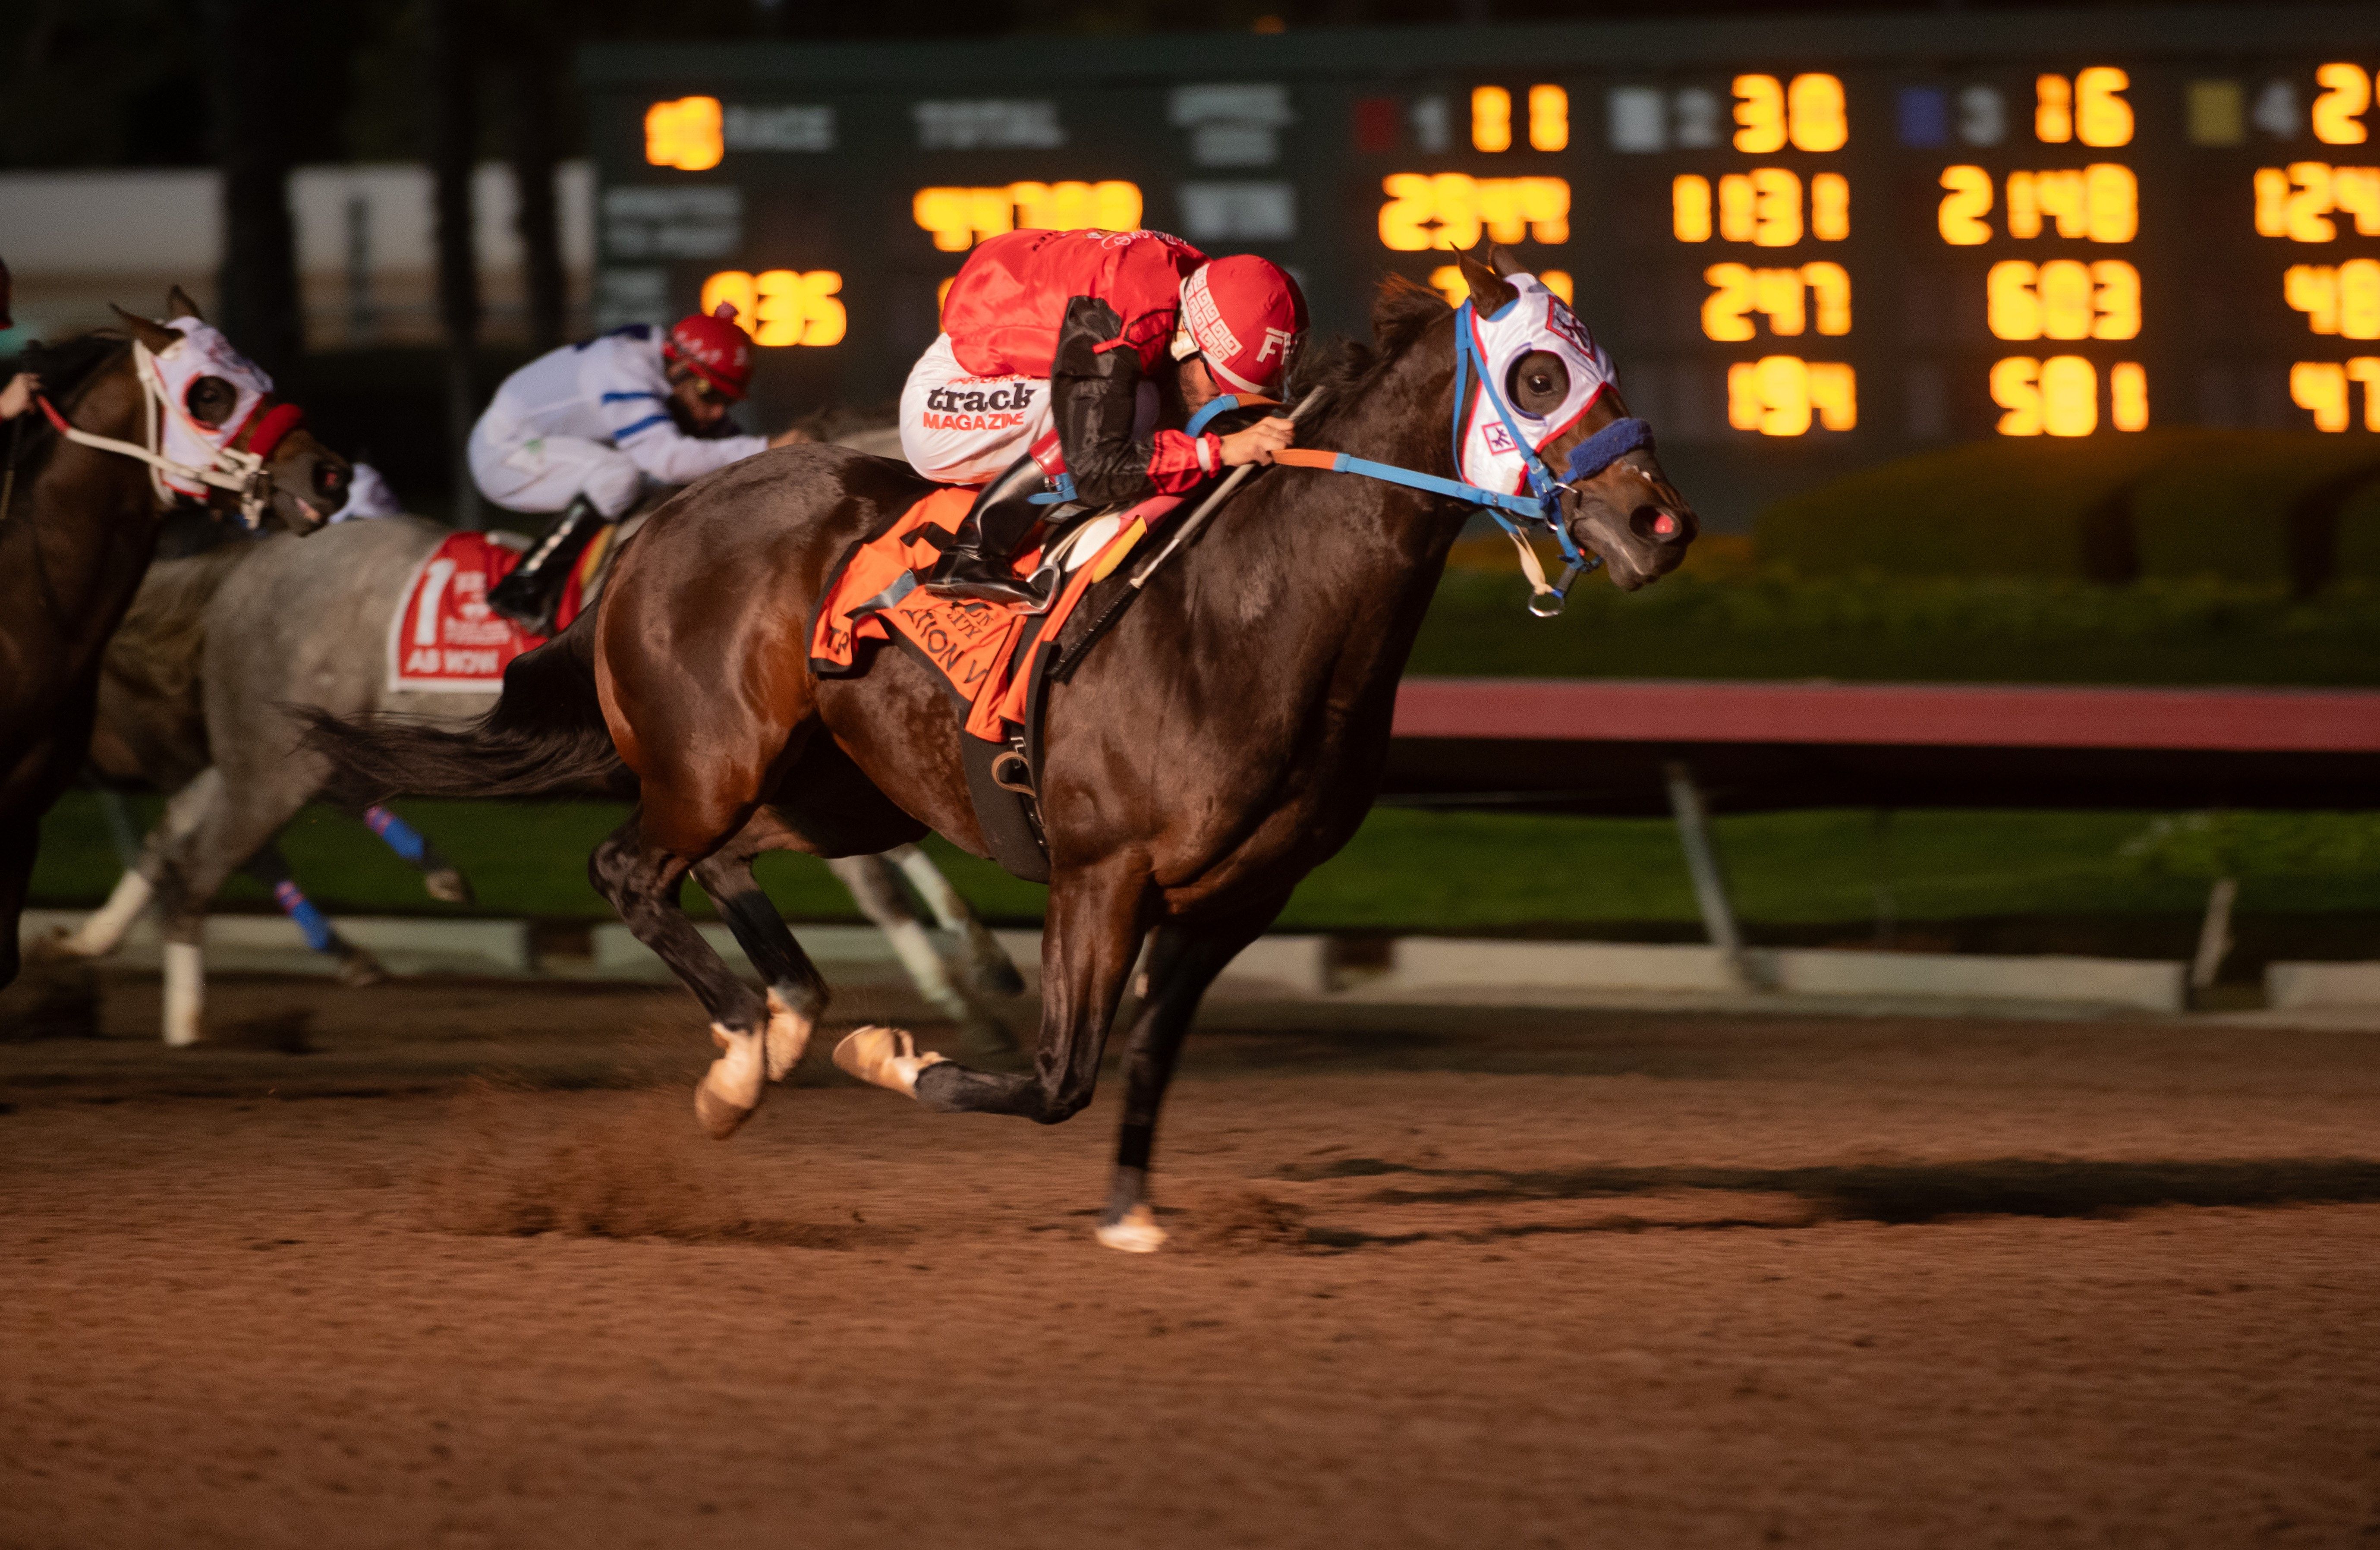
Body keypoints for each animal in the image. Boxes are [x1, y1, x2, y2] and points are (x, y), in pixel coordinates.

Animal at [35, 510, 1023, 1046]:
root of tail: (255, 558)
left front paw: (988, 974)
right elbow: (885, 884)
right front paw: (971, 992)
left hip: (272, 748)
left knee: (188, 830)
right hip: (273, 756)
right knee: (206, 853)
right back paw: (185, 1022)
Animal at [305, 250, 1697, 1251]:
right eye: (1535, 378)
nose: (1658, 527)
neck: (1251, 616)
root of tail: (656, 527)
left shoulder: (1236, 898)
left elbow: (1144, 1055)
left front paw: (1131, 1214)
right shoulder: (1102, 871)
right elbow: (1056, 1071)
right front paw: (895, 1058)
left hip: (837, 788)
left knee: (727, 863)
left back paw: (776, 1028)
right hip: (712, 758)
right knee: (628, 868)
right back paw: (747, 1057)